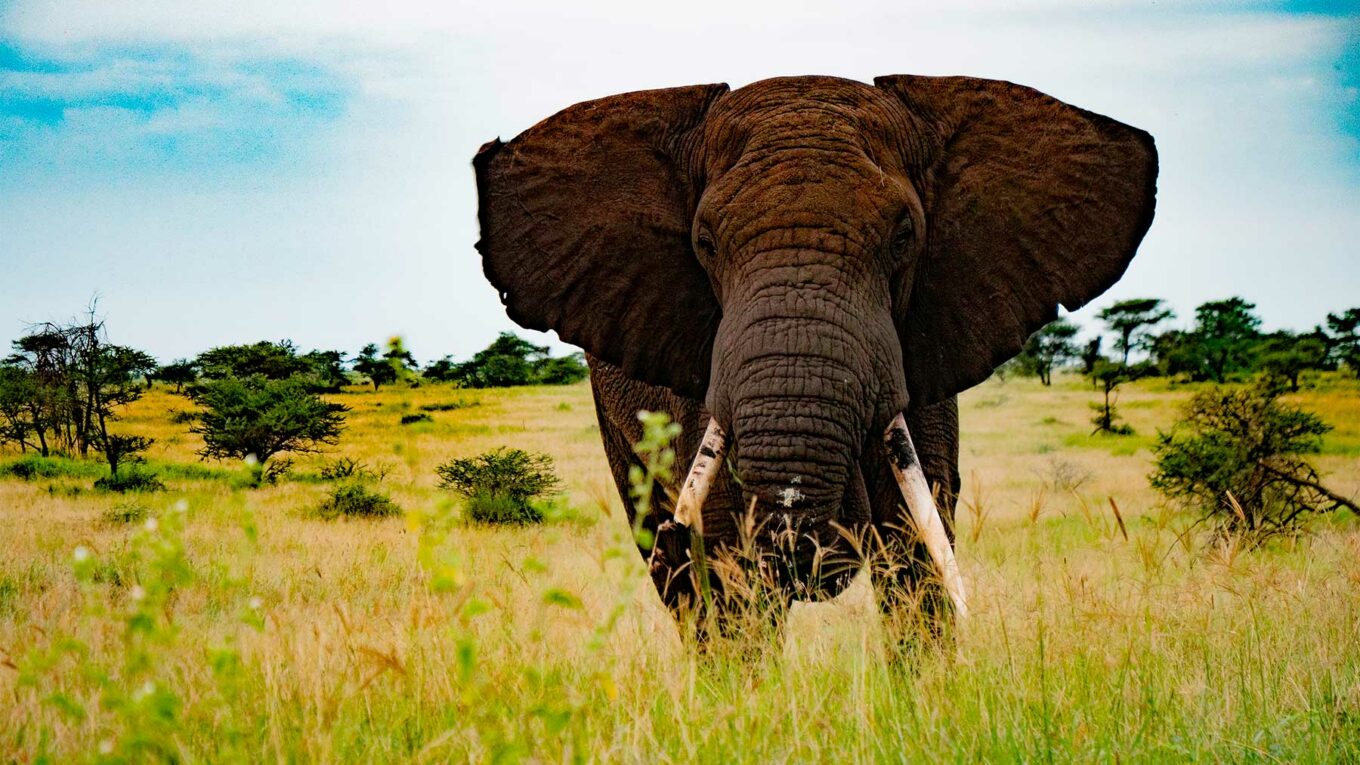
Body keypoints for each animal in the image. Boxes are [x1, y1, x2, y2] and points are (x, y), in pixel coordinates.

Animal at [470, 75, 1158, 637]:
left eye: (904, 237)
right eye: (704, 242)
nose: (808, 557)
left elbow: (918, 552)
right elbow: (728, 566)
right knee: (680, 587)